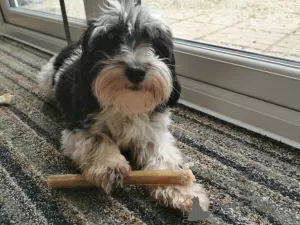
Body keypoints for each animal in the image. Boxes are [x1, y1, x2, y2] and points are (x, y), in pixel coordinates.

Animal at [37, 0, 209, 212]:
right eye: (111, 42)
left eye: (154, 43)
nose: (136, 71)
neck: (126, 102)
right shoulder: (78, 126)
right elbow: (98, 139)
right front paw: (110, 166)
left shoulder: (153, 130)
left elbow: (163, 154)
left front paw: (179, 187)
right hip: (46, 80)